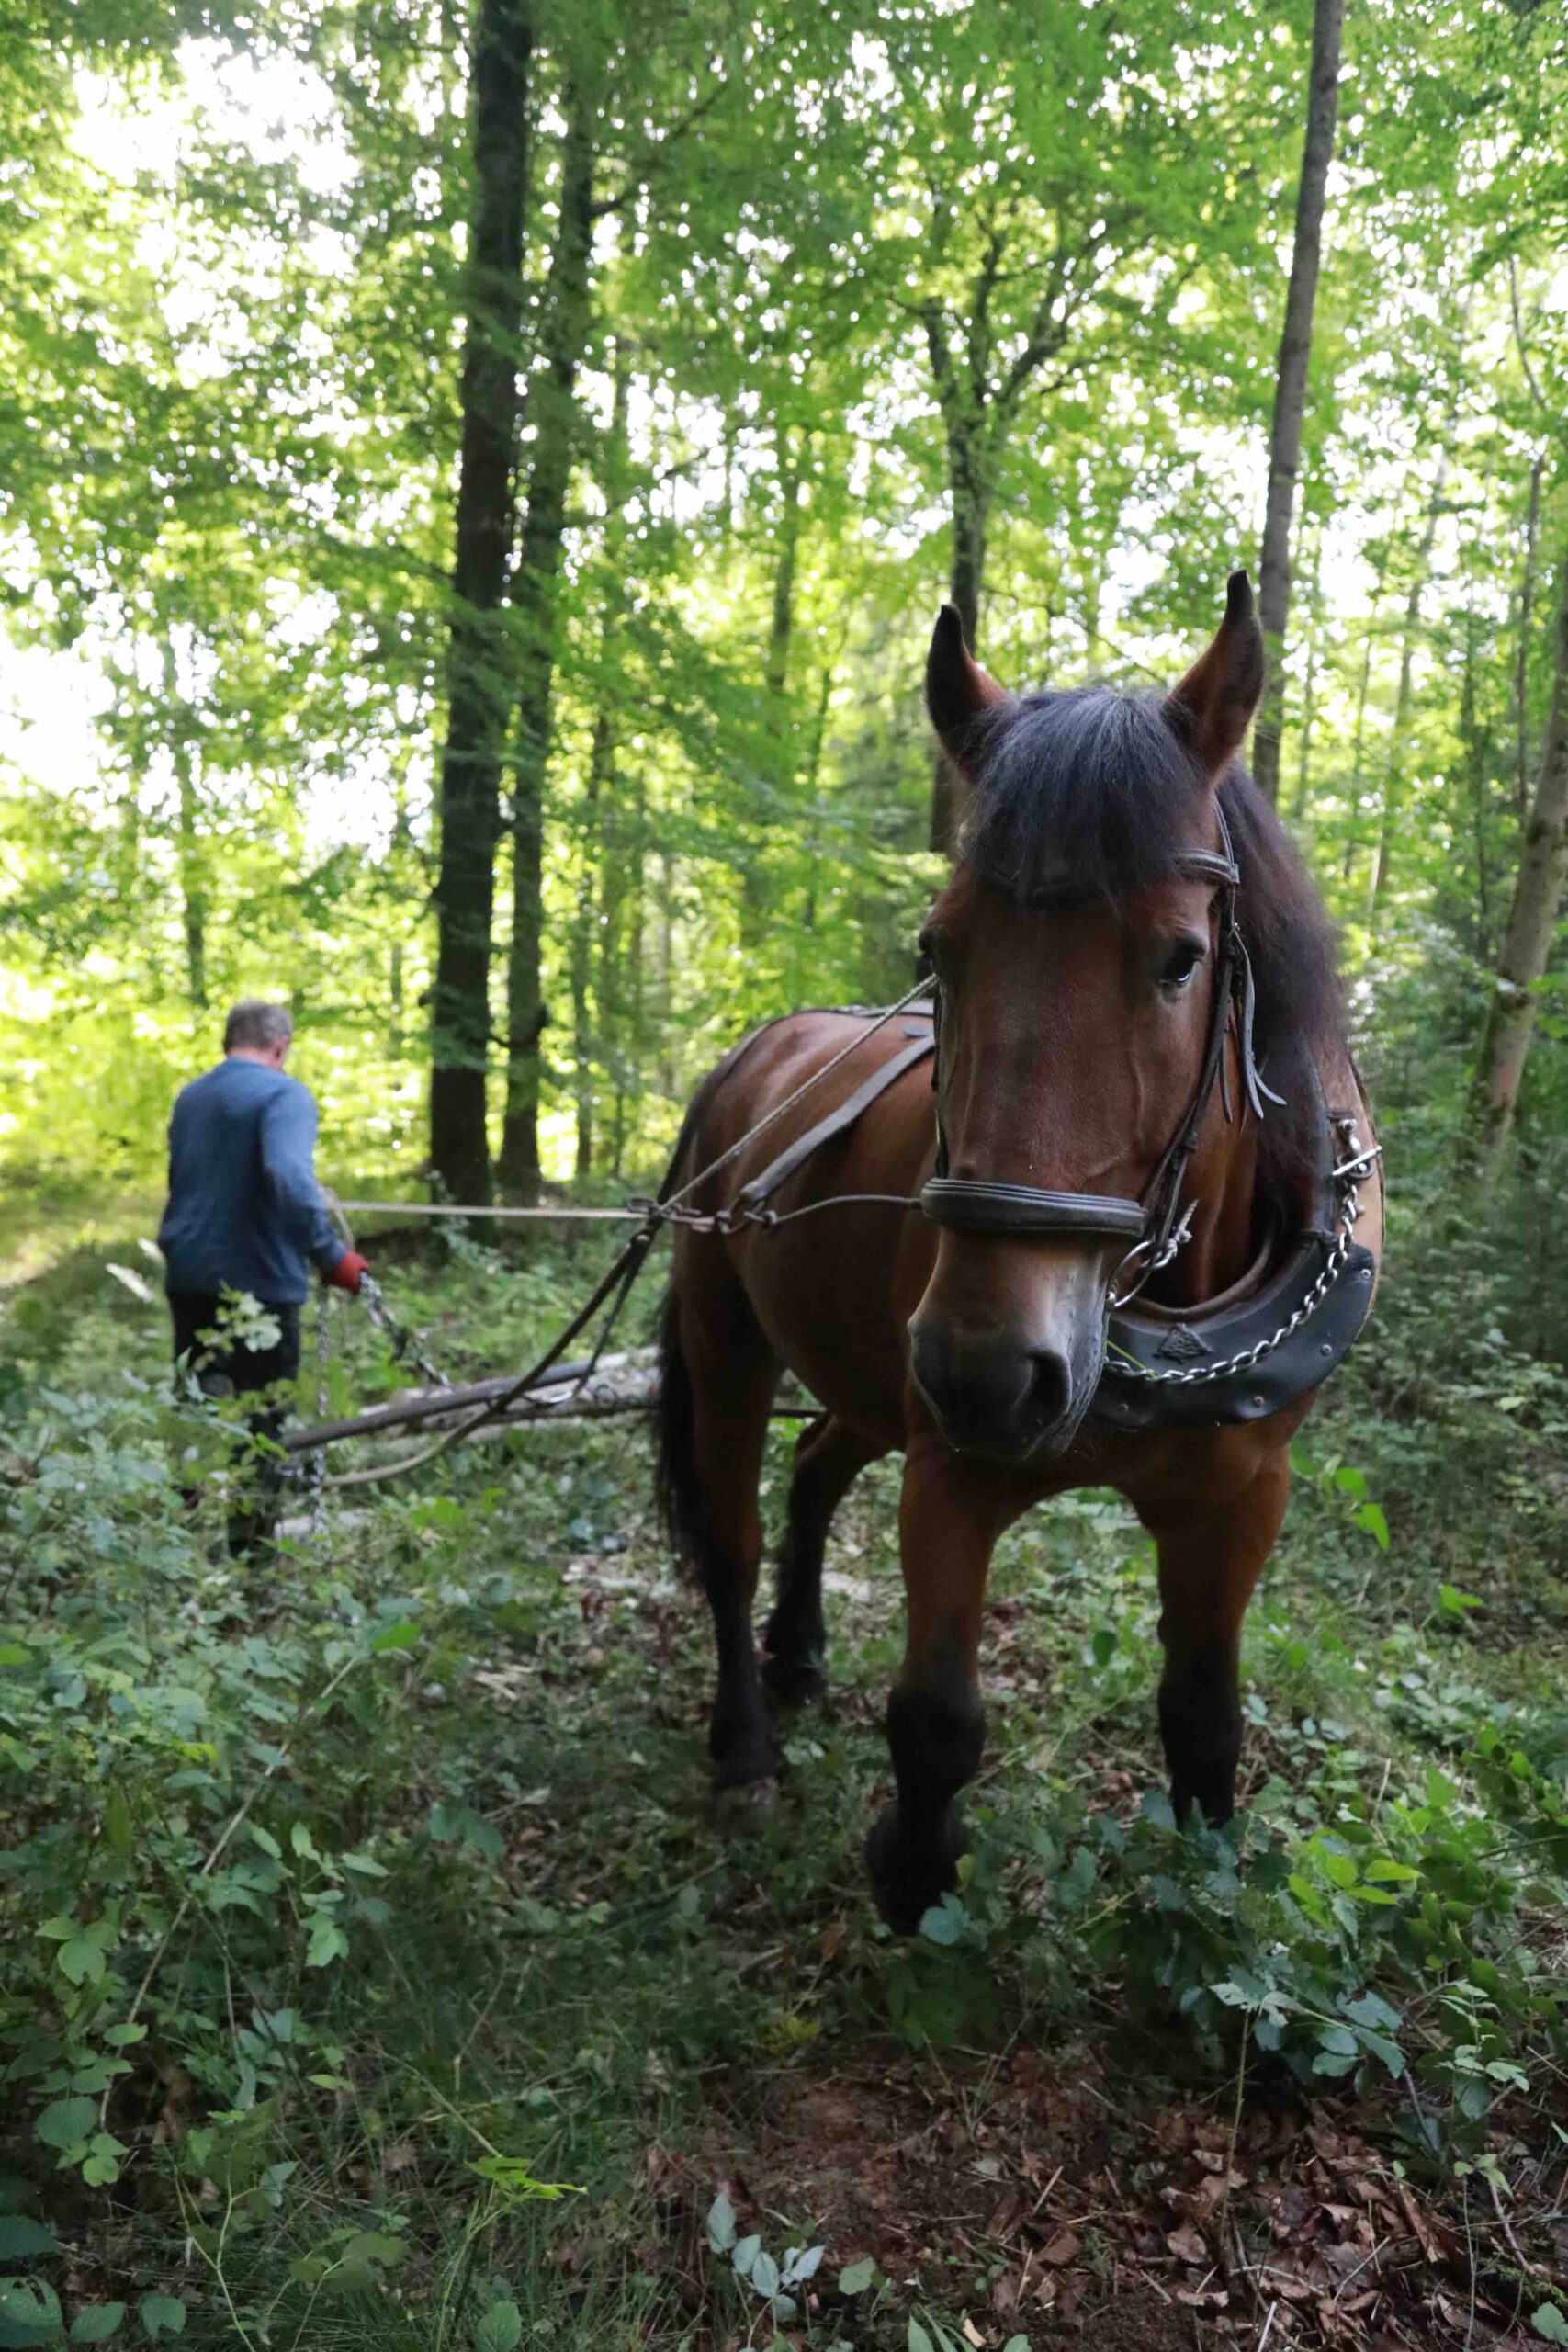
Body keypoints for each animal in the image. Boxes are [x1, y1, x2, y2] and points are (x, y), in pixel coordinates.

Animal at [658, 573, 1382, 1928]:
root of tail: (753, 1054)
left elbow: (1203, 1718)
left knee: (816, 1470)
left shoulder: (1241, 1493)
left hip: (871, 1376)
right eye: (936, 949)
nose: (991, 1368)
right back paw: (743, 1743)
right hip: (737, 1344)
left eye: (1181, 959)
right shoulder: (952, 1464)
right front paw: (911, 1870)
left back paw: (798, 1654)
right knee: (729, 1538)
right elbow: (937, 1718)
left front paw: (1200, 1888)